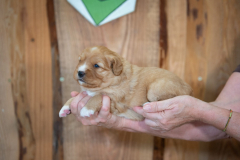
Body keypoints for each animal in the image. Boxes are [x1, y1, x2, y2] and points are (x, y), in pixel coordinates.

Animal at [59, 46, 192, 120]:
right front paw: (65, 108)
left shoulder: (116, 102)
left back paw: (146, 104)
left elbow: (98, 96)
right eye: (80, 61)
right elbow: (75, 97)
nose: (80, 72)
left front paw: (87, 109)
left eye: (96, 65)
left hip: (154, 89)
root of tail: (189, 88)